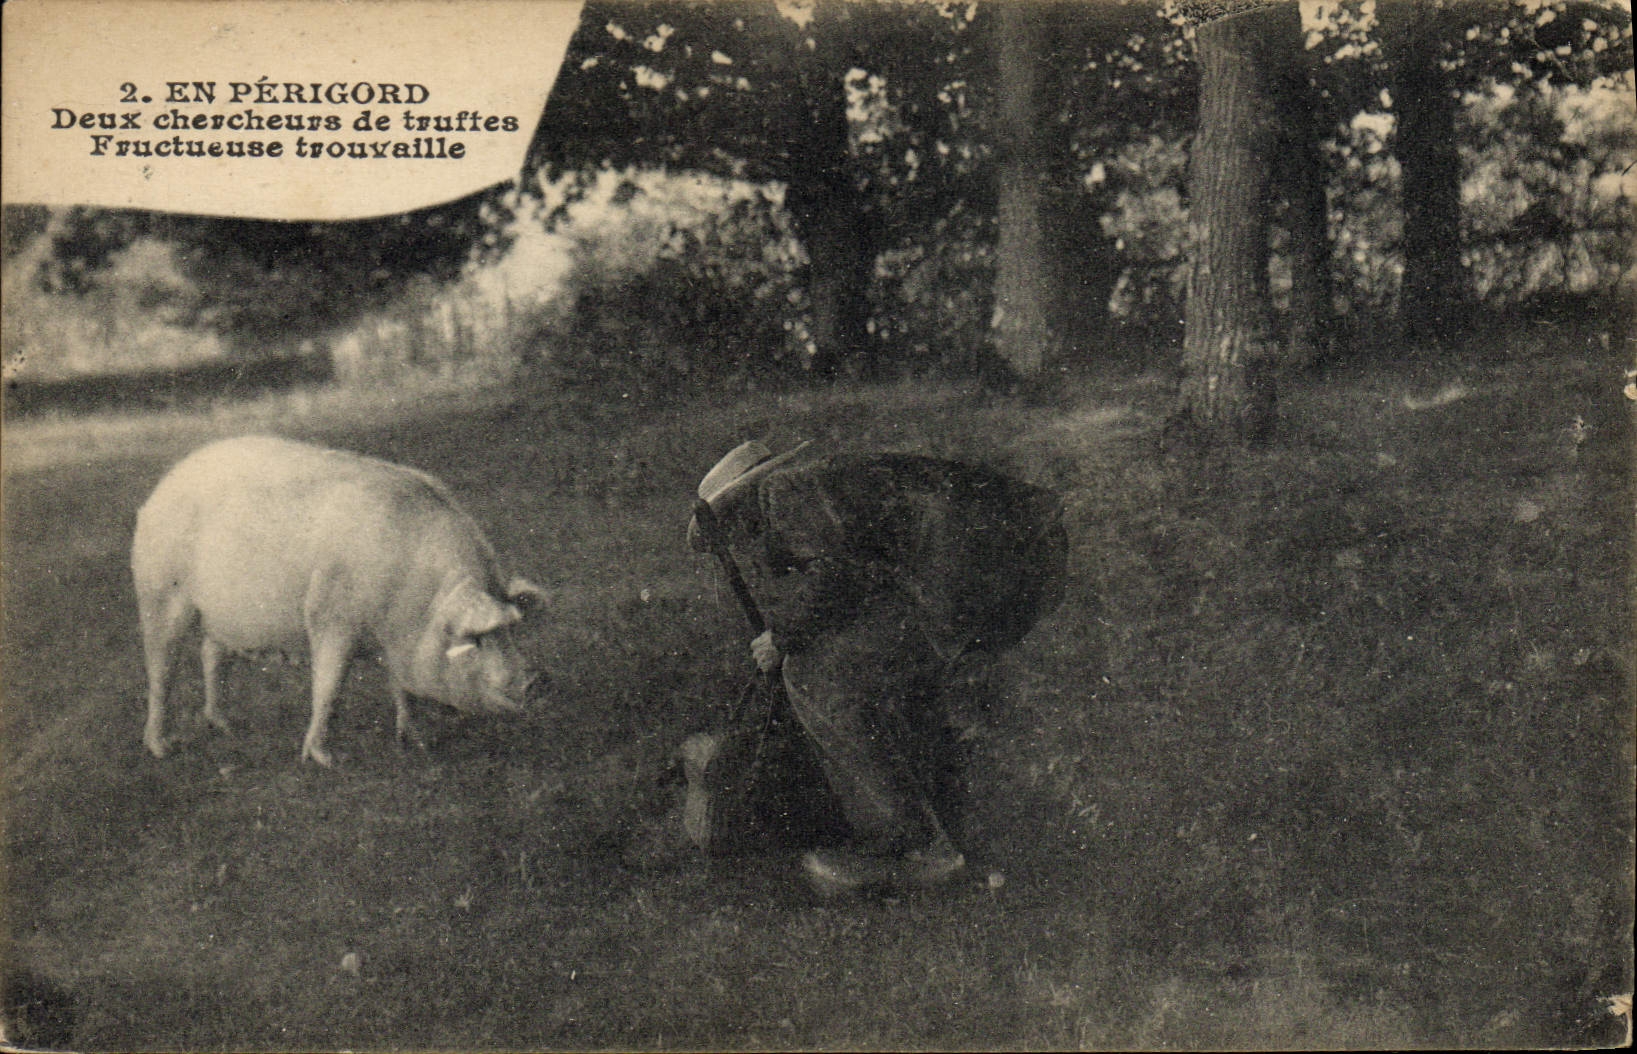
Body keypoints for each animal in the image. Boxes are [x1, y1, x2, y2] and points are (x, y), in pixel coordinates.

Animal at [131, 435, 547, 766]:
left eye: (511, 631)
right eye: (475, 640)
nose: (533, 681)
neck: (415, 605)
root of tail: (166, 483)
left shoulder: (391, 640)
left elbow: (400, 687)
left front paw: (415, 740)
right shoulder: (331, 617)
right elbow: (328, 687)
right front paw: (326, 759)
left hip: (221, 613)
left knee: (211, 653)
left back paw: (224, 725)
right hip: (159, 592)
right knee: (160, 671)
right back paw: (163, 747)